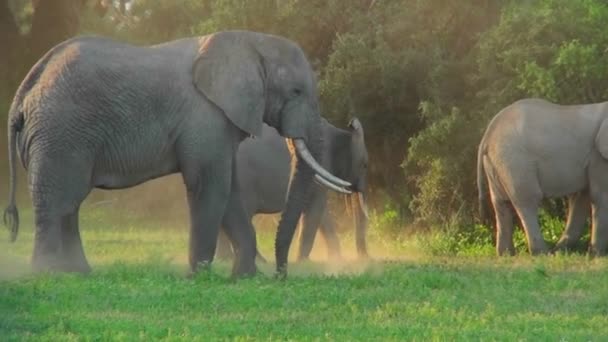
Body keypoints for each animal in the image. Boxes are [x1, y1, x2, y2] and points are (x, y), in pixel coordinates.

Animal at [3, 30, 352, 278]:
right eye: (296, 91)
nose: (281, 275)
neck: (250, 41)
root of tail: (26, 87)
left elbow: (230, 190)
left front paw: (245, 277)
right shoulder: (205, 116)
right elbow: (210, 186)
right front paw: (200, 276)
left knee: (69, 204)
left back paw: (78, 273)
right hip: (60, 133)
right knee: (58, 201)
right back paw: (48, 273)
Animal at [218, 117, 370, 262]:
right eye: (365, 165)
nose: (366, 259)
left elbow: (321, 213)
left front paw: (336, 259)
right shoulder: (320, 164)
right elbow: (316, 208)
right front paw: (303, 261)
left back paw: (227, 259)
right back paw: (256, 260)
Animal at [478, 97, 608, 255]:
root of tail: (487, 135)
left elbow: (580, 198)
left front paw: (562, 251)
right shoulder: (599, 157)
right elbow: (600, 196)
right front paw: (597, 255)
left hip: (496, 163)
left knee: (501, 204)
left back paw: (506, 255)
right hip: (515, 162)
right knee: (528, 201)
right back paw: (542, 253)